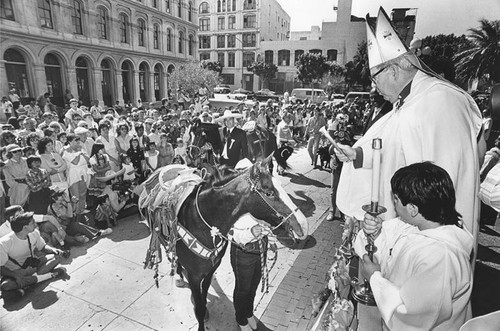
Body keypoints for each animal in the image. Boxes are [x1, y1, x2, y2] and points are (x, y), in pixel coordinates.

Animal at [142, 156, 308, 331]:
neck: (202, 221)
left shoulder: (211, 268)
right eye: (269, 193)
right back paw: (179, 276)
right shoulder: (194, 276)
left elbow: (203, 296)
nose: (303, 225)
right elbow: (199, 307)